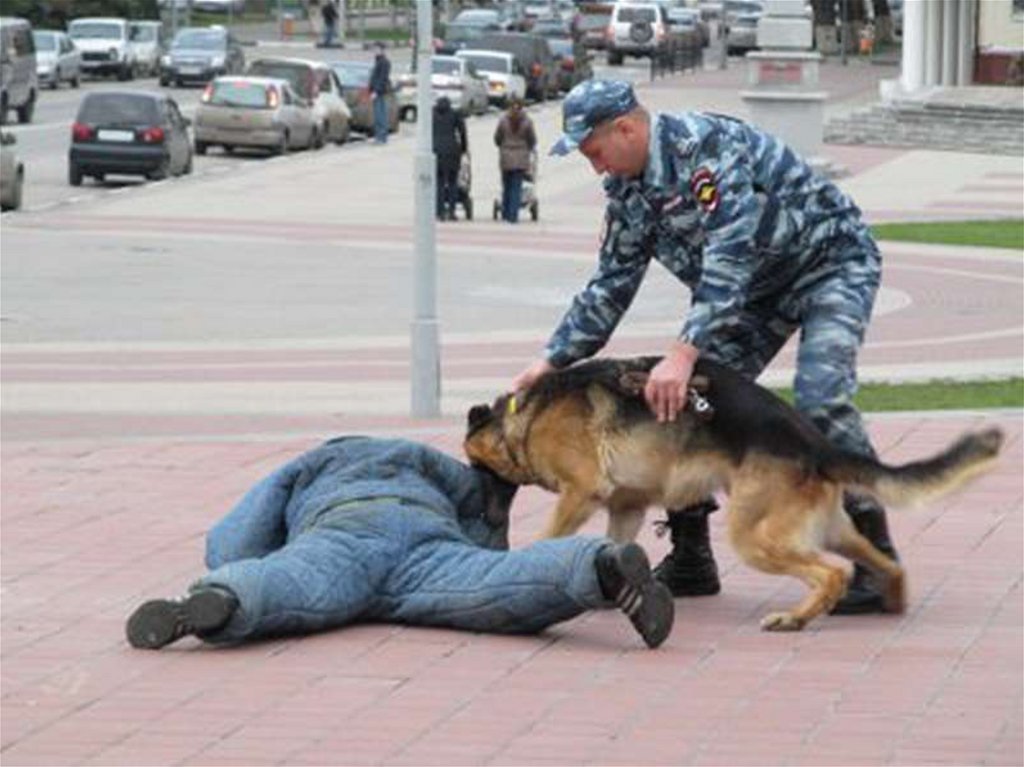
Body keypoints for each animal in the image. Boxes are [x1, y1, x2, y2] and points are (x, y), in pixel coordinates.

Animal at [466, 356, 1007, 630]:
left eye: (480, 473)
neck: (524, 413)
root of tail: (815, 444)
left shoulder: (579, 493)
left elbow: (549, 533)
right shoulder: (627, 506)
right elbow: (617, 543)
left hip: (754, 536)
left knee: (830, 574)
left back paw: (796, 618)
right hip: (829, 530)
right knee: (887, 564)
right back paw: (886, 601)